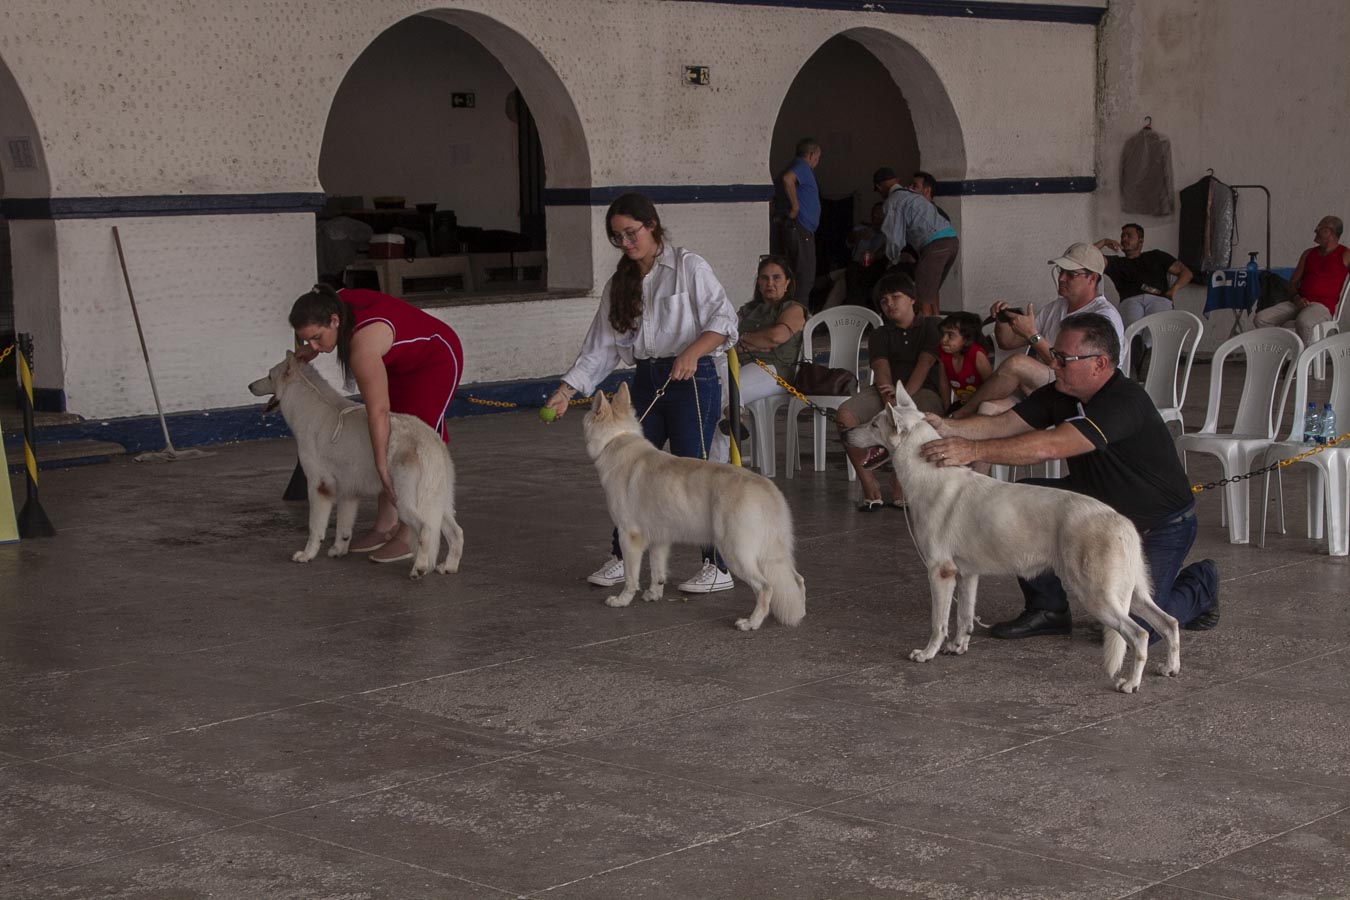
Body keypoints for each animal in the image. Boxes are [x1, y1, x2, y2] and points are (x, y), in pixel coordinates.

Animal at [248, 352, 464, 579]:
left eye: (269, 376)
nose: (250, 386)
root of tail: (429, 443)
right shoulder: (348, 492)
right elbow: (344, 527)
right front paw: (338, 550)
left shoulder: (318, 486)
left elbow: (315, 528)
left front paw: (307, 555)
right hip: (439, 502)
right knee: (456, 532)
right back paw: (449, 566)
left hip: (405, 501)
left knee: (426, 530)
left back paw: (419, 568)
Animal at [583, 382, 806, 631]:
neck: (615, 438)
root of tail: (767, 489)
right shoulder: (660, 539)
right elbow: (657, 570)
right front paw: (654, 594)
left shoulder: (628, 536)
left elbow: (631, 577)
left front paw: (622, 600)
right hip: (773, 553)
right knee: (797, 580)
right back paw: (800, 613)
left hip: (735, 552)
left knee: (766, 587)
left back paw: (751, 622)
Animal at [847, 385, 1179, 693]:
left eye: (874, 424)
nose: (846, 432)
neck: (928, 476)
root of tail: (1123, 523)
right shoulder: (967, 574)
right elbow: (964, 618)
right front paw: (957, 648)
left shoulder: (940, 573)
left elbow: (938, 622)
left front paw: (927, 653)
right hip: (1132, 592)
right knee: (1169, 622)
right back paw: (1170, 668)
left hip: (1098, 595)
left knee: (1140, 634)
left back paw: (1131, 683)